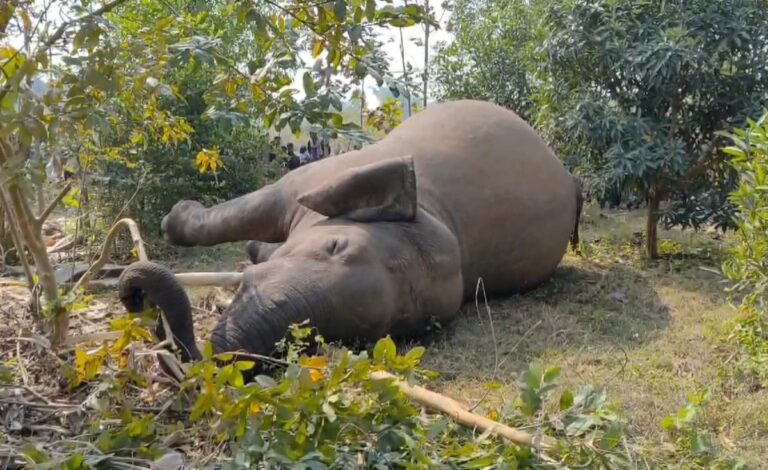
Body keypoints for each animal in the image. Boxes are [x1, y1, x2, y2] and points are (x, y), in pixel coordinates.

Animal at [118, 99, 583, 368]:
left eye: (368, 335)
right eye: (334, 245)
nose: (138, 296)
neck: (437, 211)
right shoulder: (316, 174)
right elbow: (259, 205)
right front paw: (175, 220)